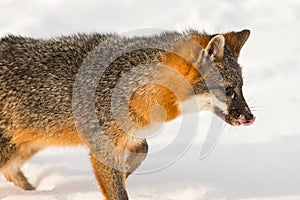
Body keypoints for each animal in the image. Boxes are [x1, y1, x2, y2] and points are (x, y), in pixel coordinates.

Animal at [0, 28, 255, 199]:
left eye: (242, 88)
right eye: (229, 90)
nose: (250, 117)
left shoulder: (130, 135)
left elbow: (142, 151)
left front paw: (123, 174)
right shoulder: (103, 144)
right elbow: (118, 189)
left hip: (25, 148)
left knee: (12, 172)